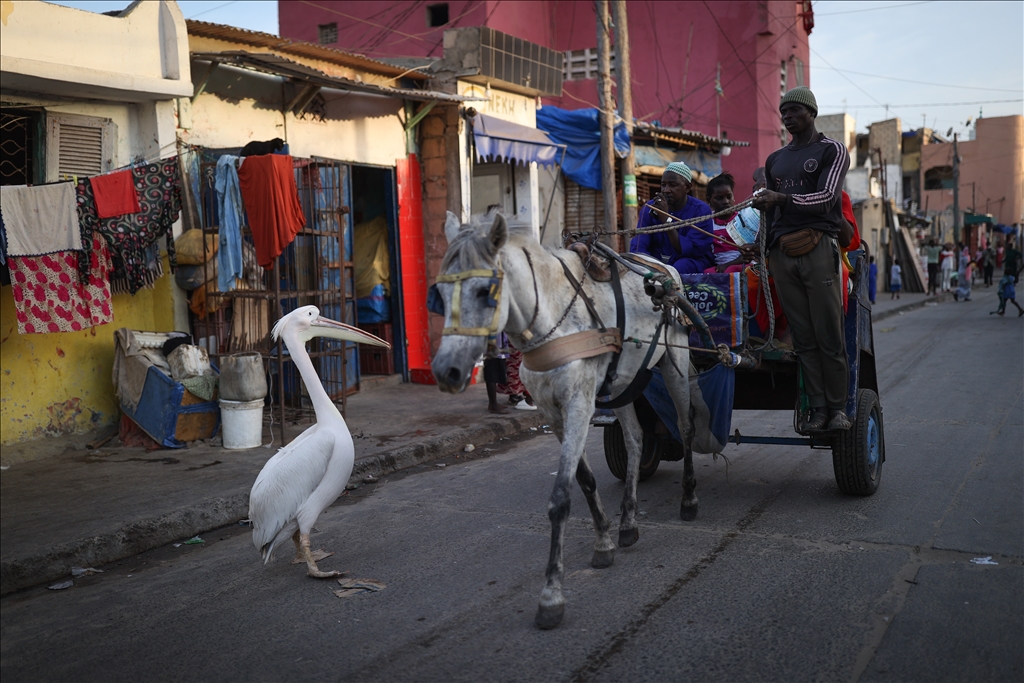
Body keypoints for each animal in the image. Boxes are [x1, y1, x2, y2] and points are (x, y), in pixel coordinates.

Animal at [432, 211, 696, 630]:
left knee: (686, 428)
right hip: (624, 382)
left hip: (676, 362)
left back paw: (688, 499)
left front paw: (551, 595)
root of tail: (660, 265)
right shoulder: (553, 412)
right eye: (440, 294)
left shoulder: (578, 404)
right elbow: (584, 481)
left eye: (485, 291)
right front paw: (604, 540)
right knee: (636, 440)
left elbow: (560, 499)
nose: (447, 372)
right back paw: (628, 522)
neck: (550, 319)